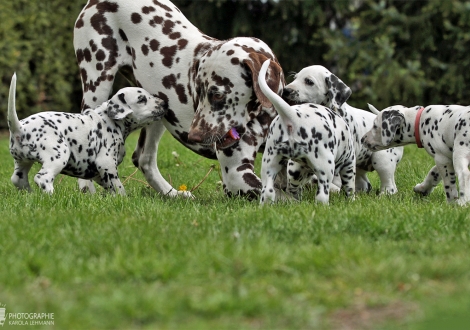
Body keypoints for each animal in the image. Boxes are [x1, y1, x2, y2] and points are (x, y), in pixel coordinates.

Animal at [6, 73, 167, 195]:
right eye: (142, 99)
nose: (164, 103)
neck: (110, 120)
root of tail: (20, 128)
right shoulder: (106, 163)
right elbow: (119, 187)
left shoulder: (97, 172)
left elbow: (109, 185)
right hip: (58, 156)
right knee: (42, 178)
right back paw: (51, 196)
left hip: (22, 162)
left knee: (18, 180)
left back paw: (30, 194)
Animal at [75, 0, 284, 199]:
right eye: (198, 91)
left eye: (217, 94)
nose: (194, 136)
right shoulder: (236, 175)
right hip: (97, 84)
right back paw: (87, 190)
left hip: (157, 112)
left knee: (143, 159)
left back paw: (173, 194)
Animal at [258, 59, 356, 204]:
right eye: (295, 78)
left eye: (309, 81)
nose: (286, 91)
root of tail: (292, 115)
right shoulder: (349, 161)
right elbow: (350, 186)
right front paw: (351, 199)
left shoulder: (296, 168)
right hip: (325, 167)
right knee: (321, 196)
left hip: (270, 163)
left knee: (268, 192)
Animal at [282, 64, 404, 193]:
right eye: (295, 78)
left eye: (309, 82)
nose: (286, 90)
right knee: (365, 184)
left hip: (382, 159)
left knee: (389, 184)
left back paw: (385, 193)